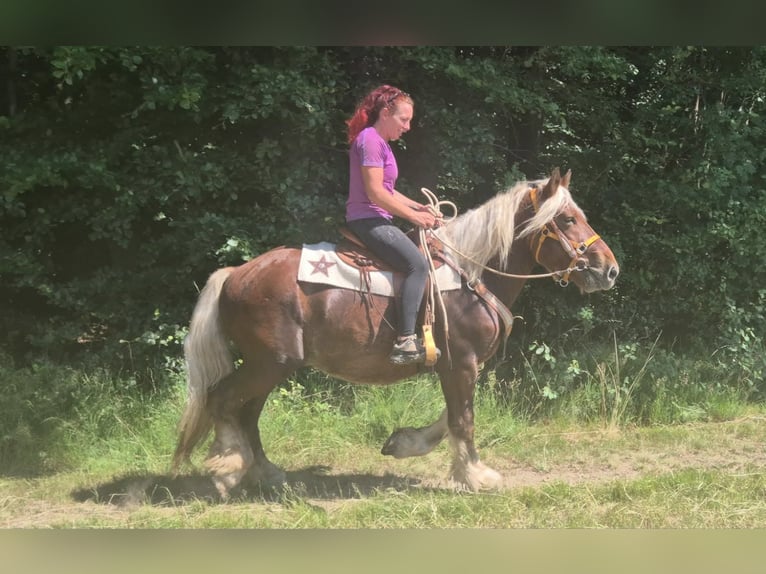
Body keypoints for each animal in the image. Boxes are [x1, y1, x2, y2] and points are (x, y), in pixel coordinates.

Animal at [172, 168, 620, 497]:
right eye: (567, 219)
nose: (609, 269)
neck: (472, 273)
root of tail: (235, 273)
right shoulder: (462, 364)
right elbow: (463, 420)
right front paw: (476, 476)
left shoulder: (456, 367)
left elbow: (450, 417)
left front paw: (404, 444)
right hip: (269, 363)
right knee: (223, 399)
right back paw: (227, 469)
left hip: (271, 366)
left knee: (246, 411)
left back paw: (263, 472)